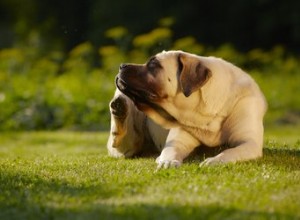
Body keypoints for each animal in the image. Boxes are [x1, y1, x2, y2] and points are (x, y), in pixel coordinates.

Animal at [106, 50, 266, 168]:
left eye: (153, 64)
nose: (122, 65)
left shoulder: (249, 143)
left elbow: (230, 152)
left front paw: (214, 160)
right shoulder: (177, 141)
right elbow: (170, 150)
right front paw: (167, 161)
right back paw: (119, 108)